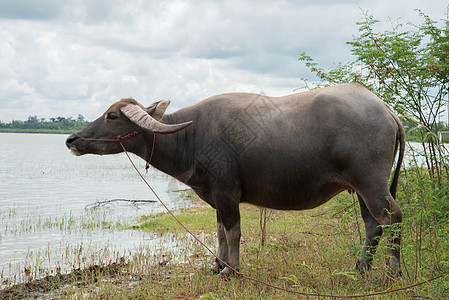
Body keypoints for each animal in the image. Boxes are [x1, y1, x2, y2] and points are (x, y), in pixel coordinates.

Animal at [67, 83, 406, 278]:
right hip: (360, 188)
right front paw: (217, 265)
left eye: (112, 116)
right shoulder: (216, 197)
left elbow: (233, 233)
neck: (190, 137)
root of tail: (387, 111)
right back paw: (360, 268)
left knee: (393, 218)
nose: (72, 139)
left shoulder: (227, 192)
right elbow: (218, 231)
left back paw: (393, 273)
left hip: (371, 183)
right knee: (373, 225)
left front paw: (232, 270)